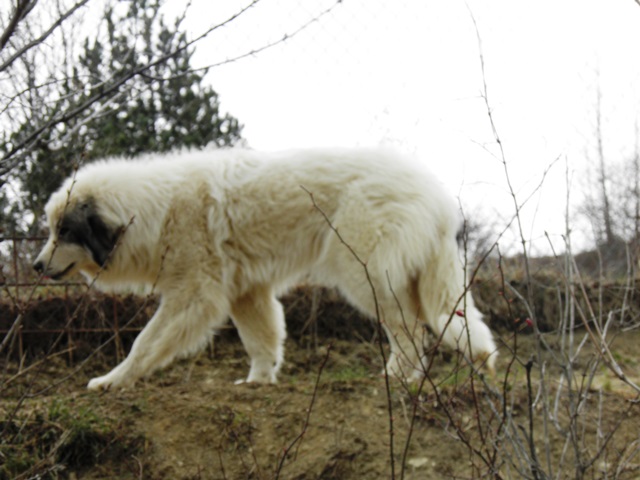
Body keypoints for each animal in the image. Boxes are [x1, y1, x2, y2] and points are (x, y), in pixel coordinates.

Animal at [32, 147, 498, 390]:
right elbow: (261, 341)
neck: (154, 210)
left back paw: (394, 379)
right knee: (442, 325)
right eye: (52, 231)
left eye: (63, 231)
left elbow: (143, 344)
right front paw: (258, 381)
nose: (36, 266)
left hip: (366, 278)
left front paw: (113, 380)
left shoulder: (192, 296)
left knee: (411, 334)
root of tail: (435, 195)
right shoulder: (246, 293)